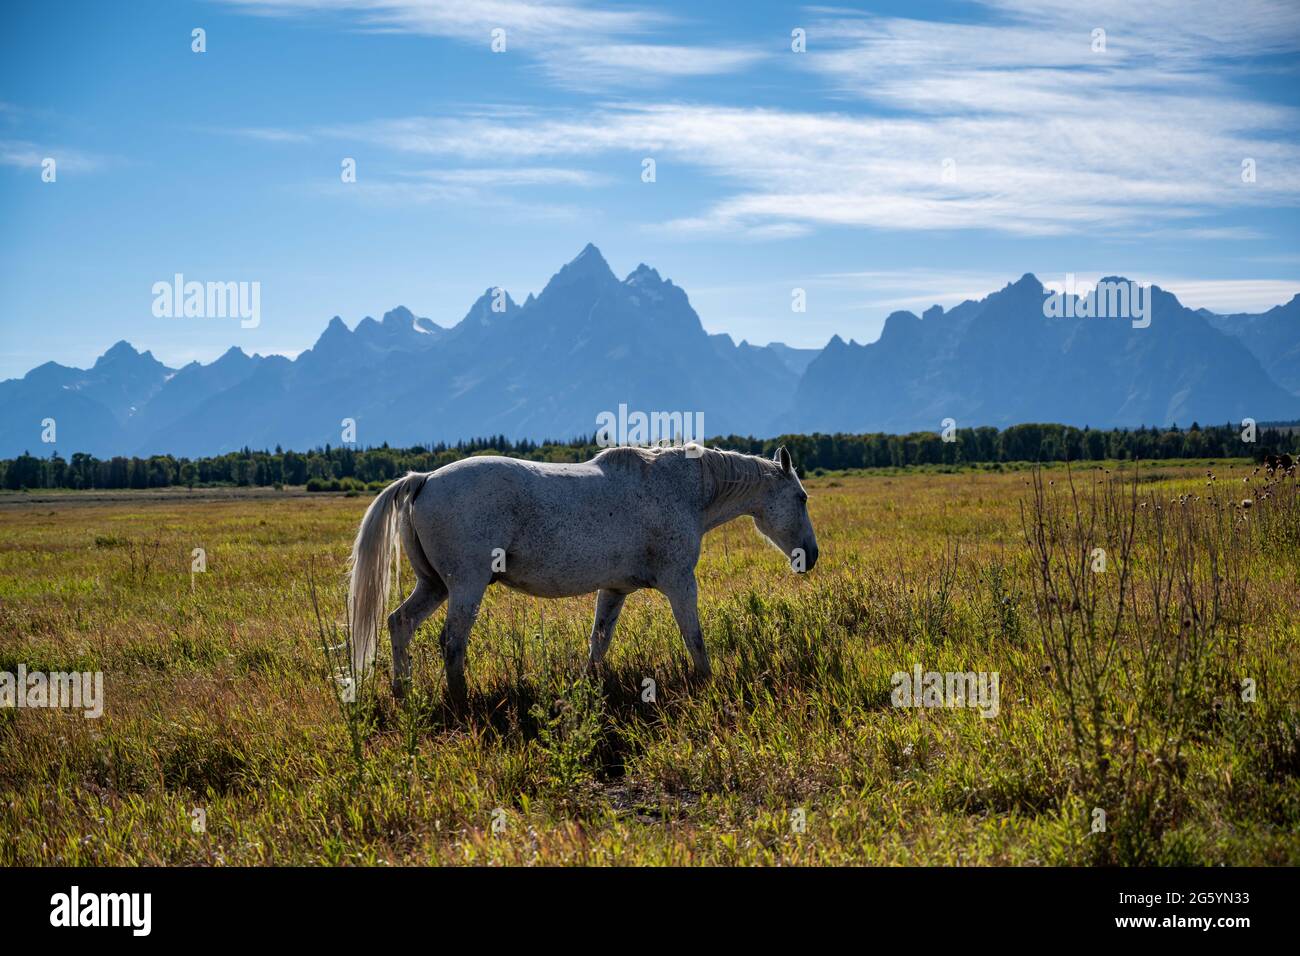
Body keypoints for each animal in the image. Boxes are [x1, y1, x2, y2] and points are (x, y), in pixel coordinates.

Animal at [346, 444, 818, 705]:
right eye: (801, 497)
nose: (810, 556)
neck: (683, 488)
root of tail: (424, 478)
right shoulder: (681, 582)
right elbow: (695, 638)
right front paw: (708, 683)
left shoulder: (614, 589)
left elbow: (599, 641)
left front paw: (587, 688)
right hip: (465, 586)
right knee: (451, 642)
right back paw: (461, 701)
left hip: (435, 586)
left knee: (400, 624)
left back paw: (402, 691)